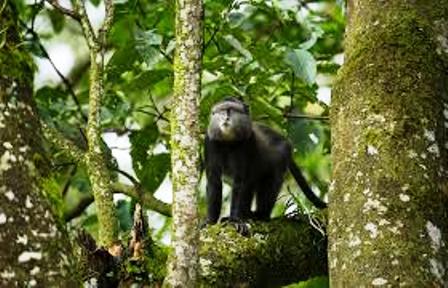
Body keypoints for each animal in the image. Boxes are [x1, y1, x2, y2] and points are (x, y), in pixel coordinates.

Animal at [205, 98, 328, 233]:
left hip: (280, 160)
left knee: (270, 184)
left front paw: (235, 221)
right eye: (222, 110)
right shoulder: (210, 142)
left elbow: (240, 182)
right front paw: (209, 222)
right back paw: (247, 214)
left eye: (232, 110)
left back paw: (260, 215)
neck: (228, 142)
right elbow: (214, 181)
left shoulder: (248, 142)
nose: (226, 117)